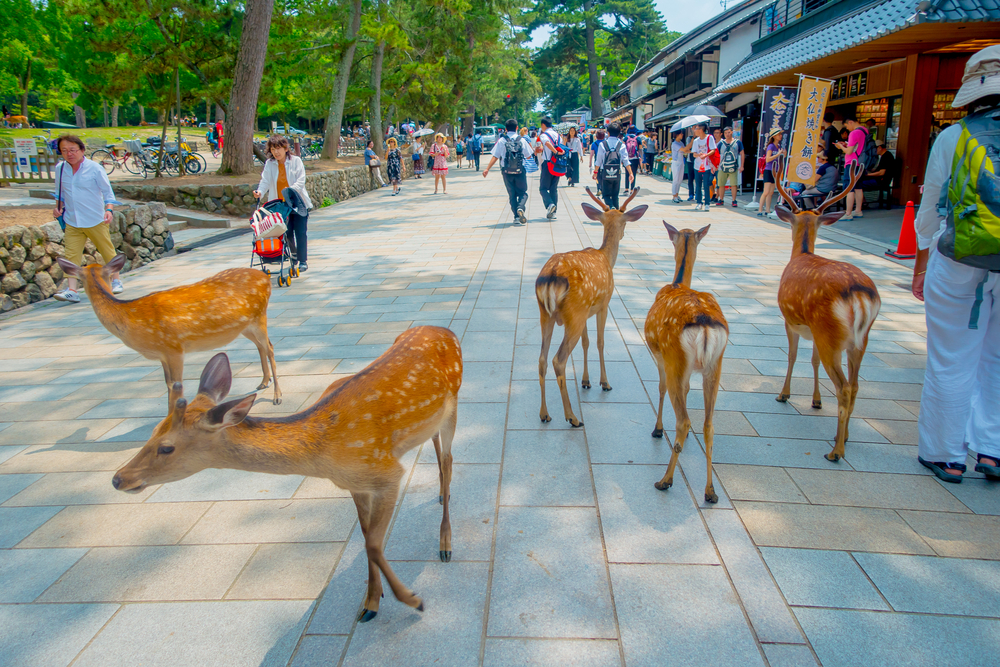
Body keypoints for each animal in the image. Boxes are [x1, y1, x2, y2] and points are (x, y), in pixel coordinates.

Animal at [56, 253, 282, 404]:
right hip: (245, 325)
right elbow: (167, 386)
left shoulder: (174, 348)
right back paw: (263, 382)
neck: (132, 318)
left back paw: (277, 396)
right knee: (261, 346)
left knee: (270, 347)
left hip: (259, 316)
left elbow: (176, 386)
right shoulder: (162, 355)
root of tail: (266, 278)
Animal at [111, 326, 462, 624]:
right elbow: (366, 538)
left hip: (455, 403)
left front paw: (413, 600)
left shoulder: (388, 473)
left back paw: (445, 543)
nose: (118, 478)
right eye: (153, 431)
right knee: (435, 445)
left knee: (448, 460)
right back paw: (440, 497)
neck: (323, 455)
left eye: (166, 447)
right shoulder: (355, 484)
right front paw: (370, 604)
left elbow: (374, 545)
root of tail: (445, 330)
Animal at [536, 188, 652, 428]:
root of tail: (551, 275)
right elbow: (599, 342)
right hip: (573, 313)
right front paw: (604, 383)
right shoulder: (603, 304)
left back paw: (544, 414)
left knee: (542, 359)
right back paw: (572, 417)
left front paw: (586, 381)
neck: (606, 257)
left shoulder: (586, 311)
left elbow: (586, 342)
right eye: (625, 223)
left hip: (549, 314)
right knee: (558, 360)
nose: (624, 234)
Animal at [644, 222, 732, 504]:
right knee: (709, 425)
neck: (677, 282)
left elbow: (660, 388)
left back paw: (665, 480)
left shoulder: (660, 356)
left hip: (676, 358)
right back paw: (710, 491)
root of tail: (704, 323)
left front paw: (657, 429)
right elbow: (687, 391)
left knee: (683, 419)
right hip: (715, 365)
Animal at [772, 163, 884, 464]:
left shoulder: (790, 321)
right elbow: (812, 361)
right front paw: (815, 400)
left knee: (844, 386)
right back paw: (842, 436)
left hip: (829, 332)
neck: (801, 254)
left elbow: (793, 356)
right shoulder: (812, 330)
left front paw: (784, 394)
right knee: (854, 385)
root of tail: (859, 295)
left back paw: (836, 452)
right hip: (857, 339)